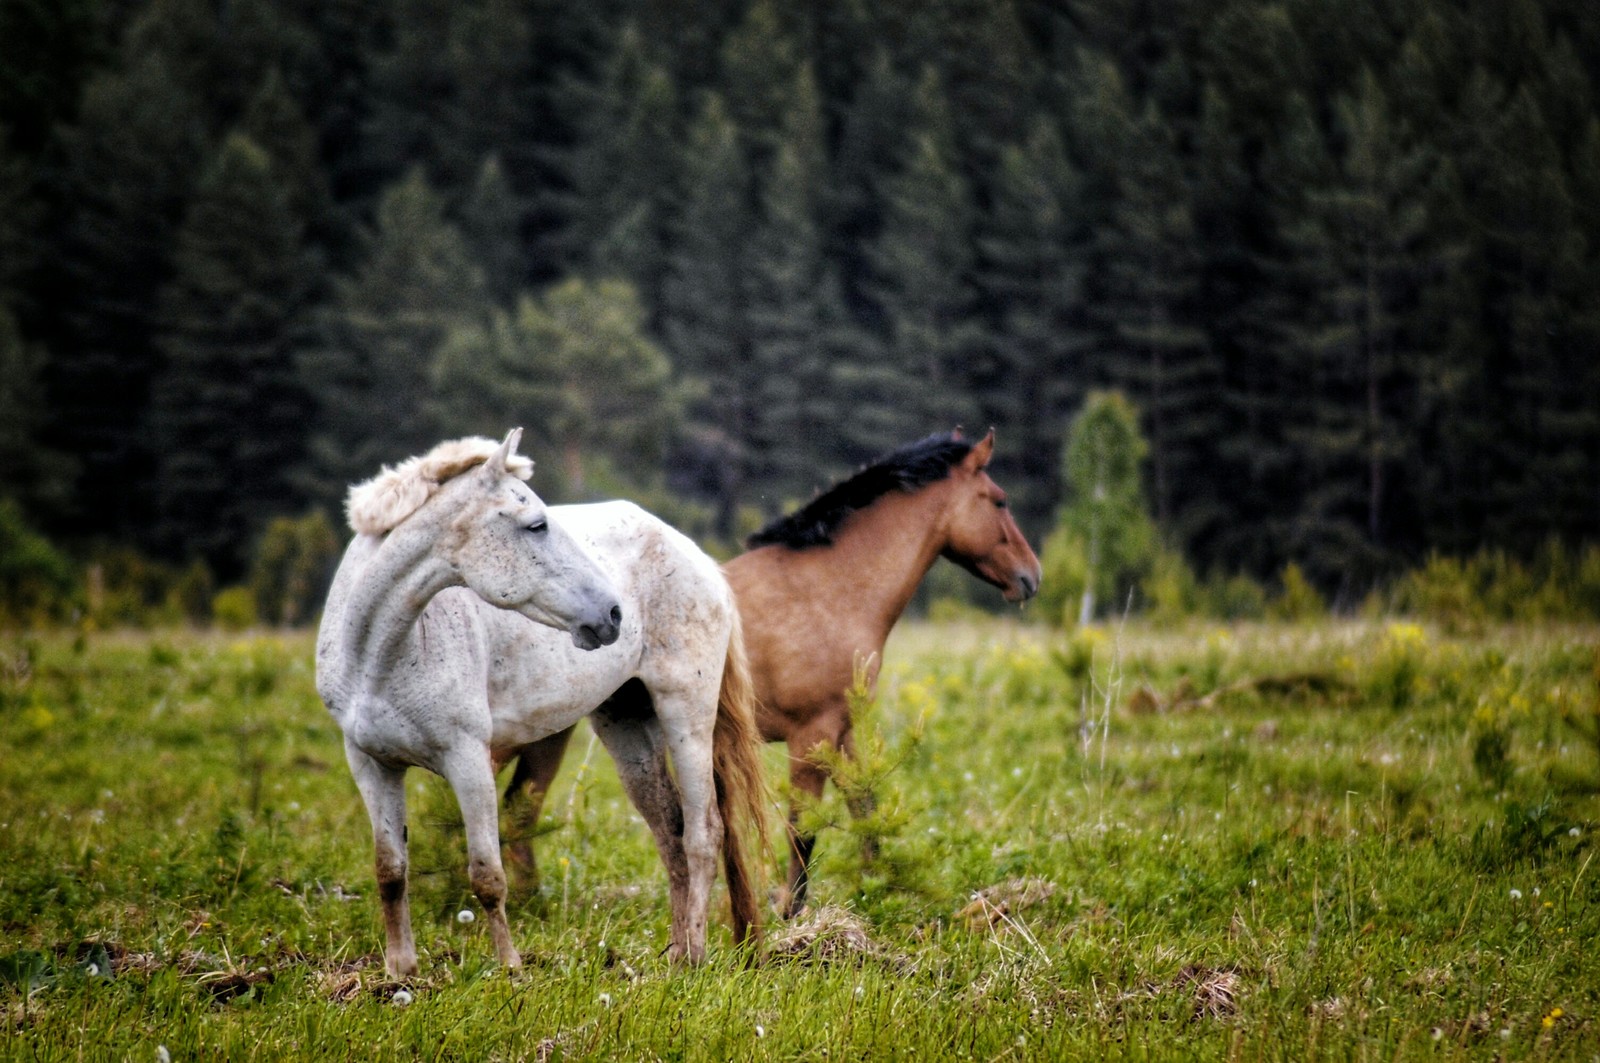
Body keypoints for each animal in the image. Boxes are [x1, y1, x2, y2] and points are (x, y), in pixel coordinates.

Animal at [315, 429, 764, 973]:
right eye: (536, 525)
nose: (612, 613)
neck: (377, 653)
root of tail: (698, 558)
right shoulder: (371, 764)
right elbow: (390, 870)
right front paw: (401, 970)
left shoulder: (467, 758)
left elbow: (487, 874)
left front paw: (510, 969)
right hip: (627, 723)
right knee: (669, 832)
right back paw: (676, 956)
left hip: (687, 716)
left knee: (703, 834)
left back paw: (693, 959)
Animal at [505, 429, 1043, 915]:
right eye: (999, 500)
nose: (1030, 576)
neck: (827, 590)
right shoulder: (811, 734)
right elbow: (803, 828)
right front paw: (792, 912)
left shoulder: (843, 731)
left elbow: (862, 804)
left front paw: (874, 888)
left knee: (517, 812)